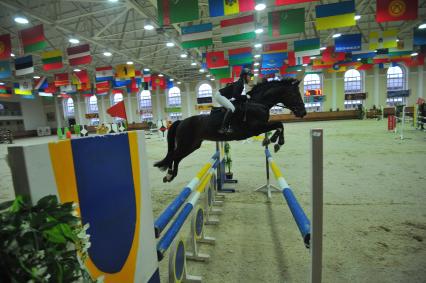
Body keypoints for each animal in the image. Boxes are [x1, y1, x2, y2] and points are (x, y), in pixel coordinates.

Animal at [153, 78, 306, 184]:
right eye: (295, 95)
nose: (303, 113)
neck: (258, 103)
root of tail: (181, 121)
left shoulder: (259, 127)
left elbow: (279, 125)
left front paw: (272, 140)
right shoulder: (256, 128)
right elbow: (279, 124)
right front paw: (276, 142)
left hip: (192, 145)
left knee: (176, 157)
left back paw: (170, 175)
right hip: (186, 144)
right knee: (173, 155)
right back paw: (169, 174)